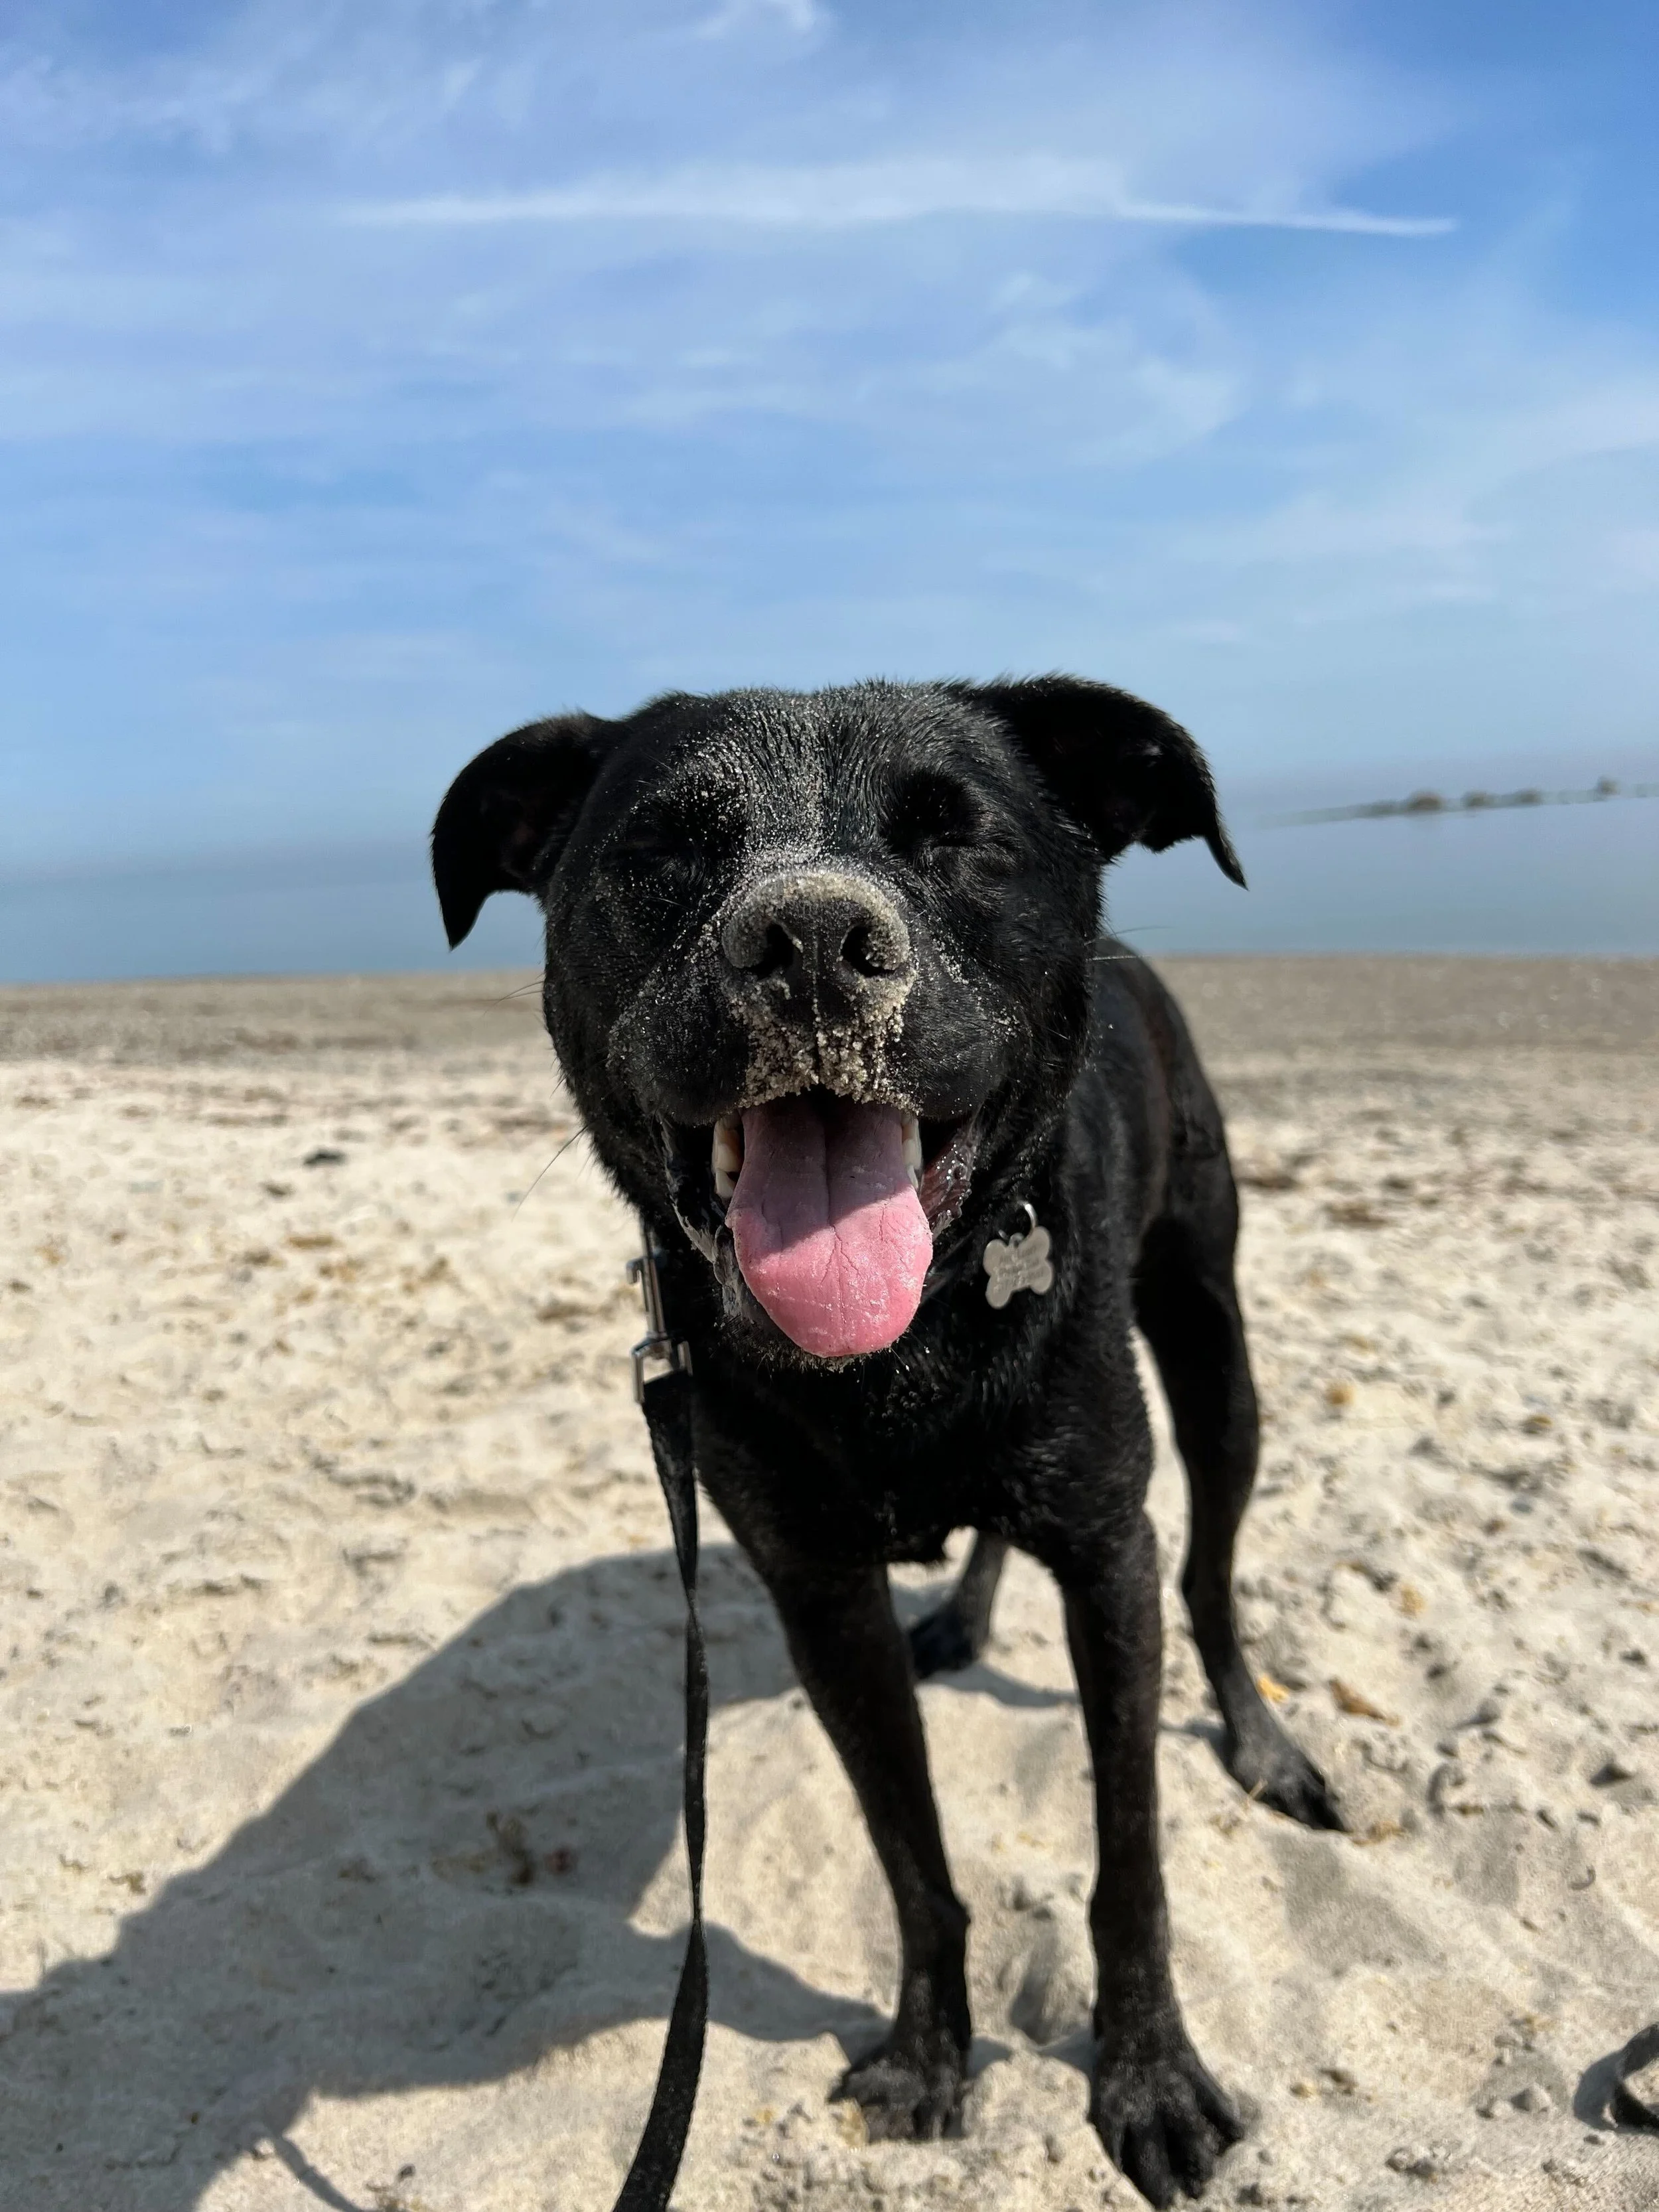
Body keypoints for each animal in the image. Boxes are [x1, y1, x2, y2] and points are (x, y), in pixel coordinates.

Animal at [432, 676, 1342, 2207]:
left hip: (1214, 1353)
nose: (806, 937)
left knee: (1213, 1570)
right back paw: (966, 1616)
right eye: (660, 845)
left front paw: (1150, 2075)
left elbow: (1131, 1862)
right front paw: (928, 2054)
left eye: (957, 838)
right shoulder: (821, 1596)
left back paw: (1261, 1738)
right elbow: (911, 1857)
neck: (893, 1359)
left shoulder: (1106, 1554)